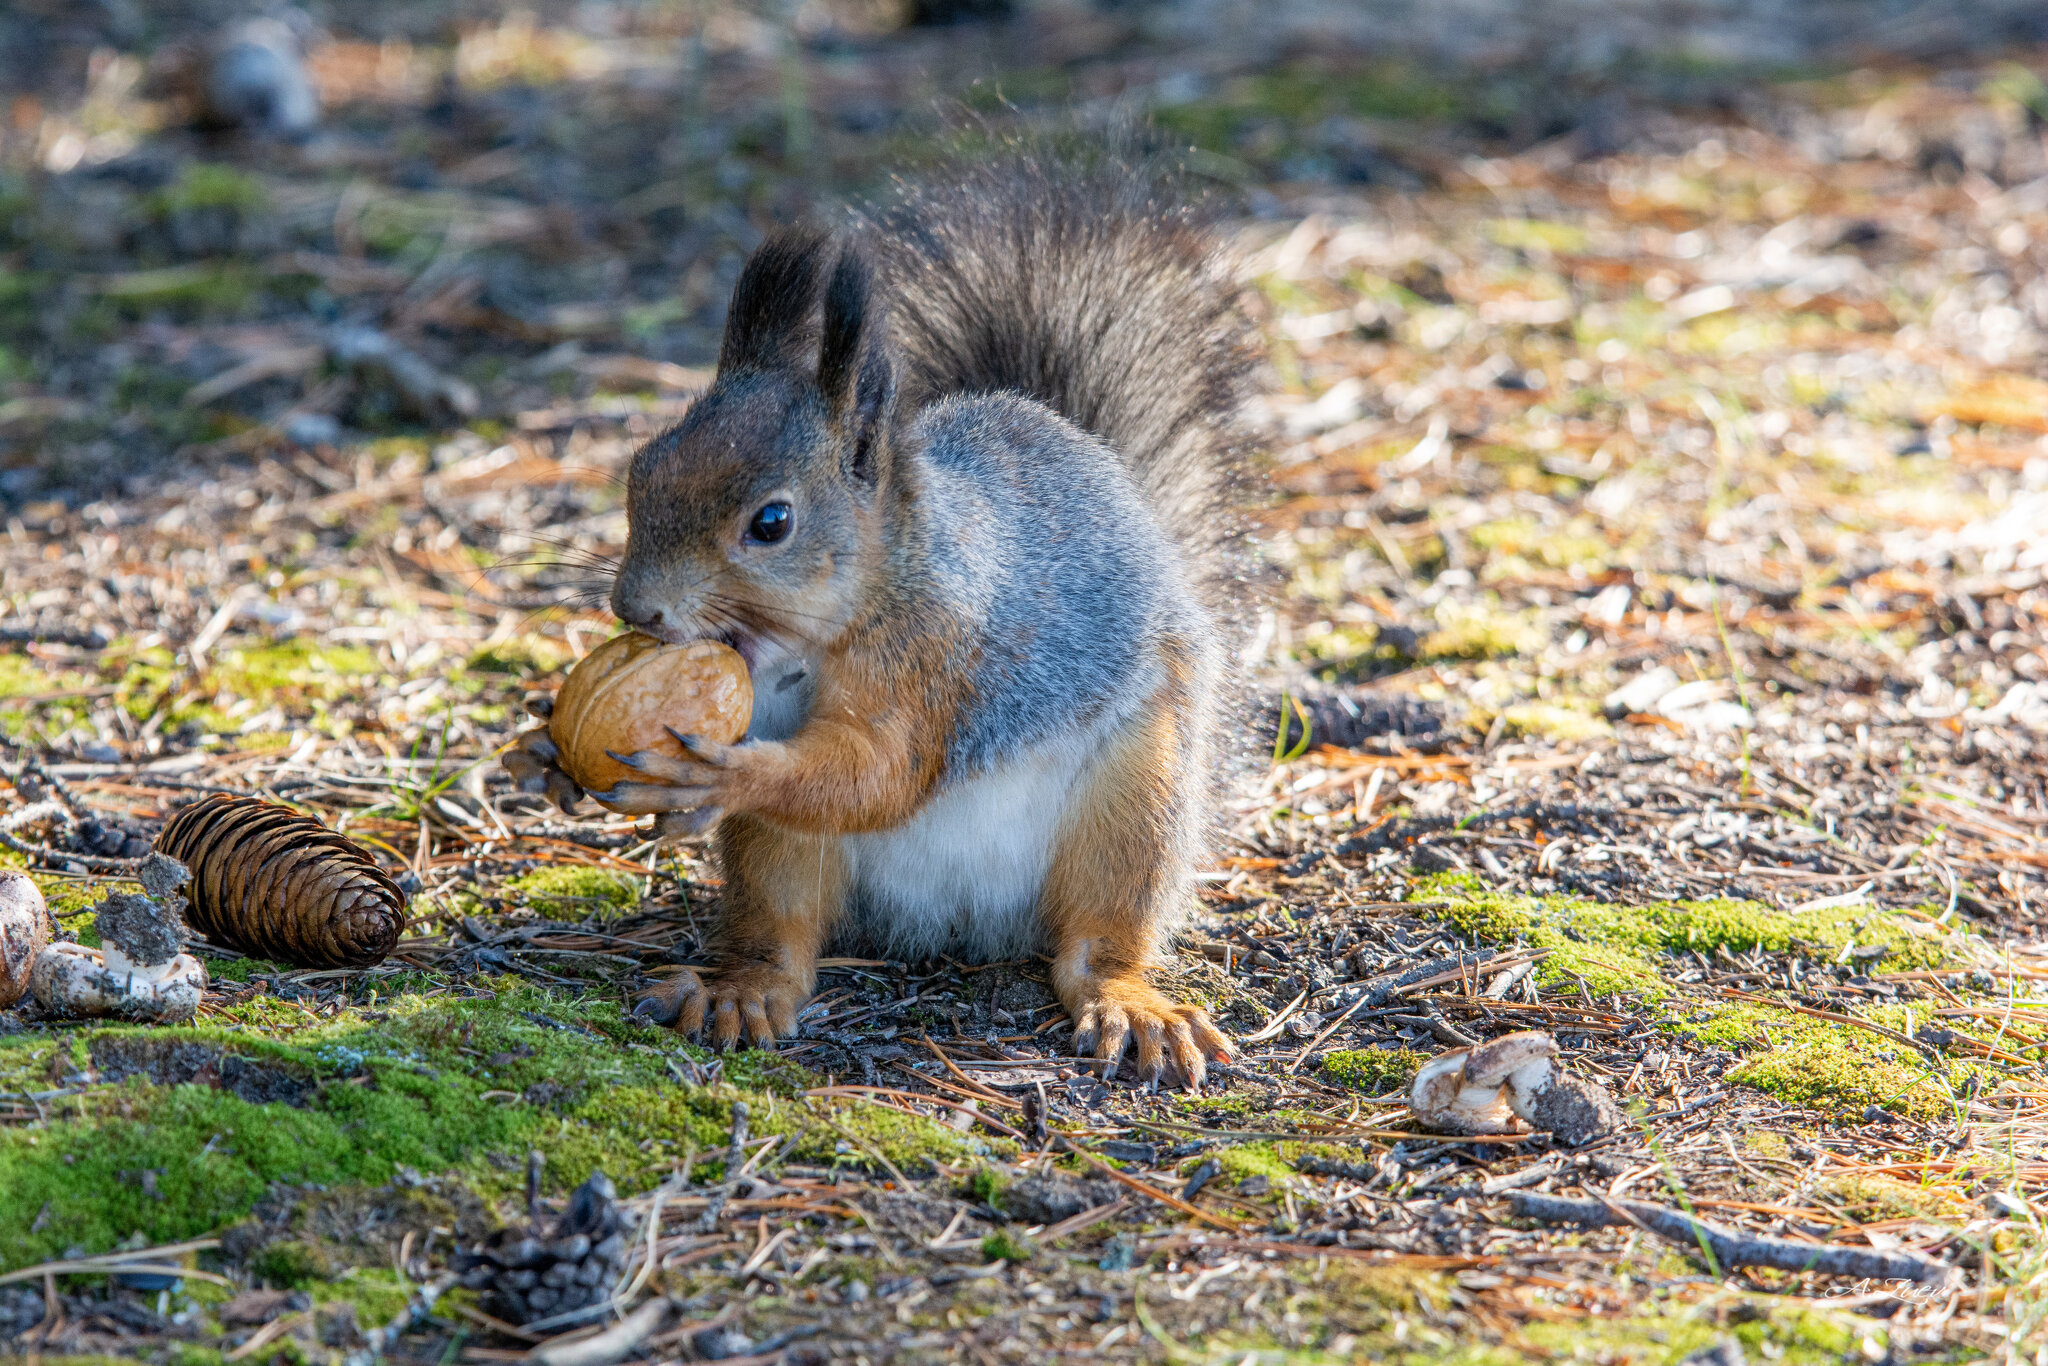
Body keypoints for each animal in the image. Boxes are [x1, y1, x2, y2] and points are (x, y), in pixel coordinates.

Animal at [503, 154, 1261, 1088]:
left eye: (772, 522)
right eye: (642, 470)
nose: (633, 607)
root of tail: (956, 920)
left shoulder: (933, 656)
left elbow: (883, 772)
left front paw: (723, 777)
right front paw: (542, 753)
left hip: (1136, 799)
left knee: (1097, 938)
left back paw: (1129, 999)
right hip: (788, 859)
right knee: (784, 934)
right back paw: (743, 989)